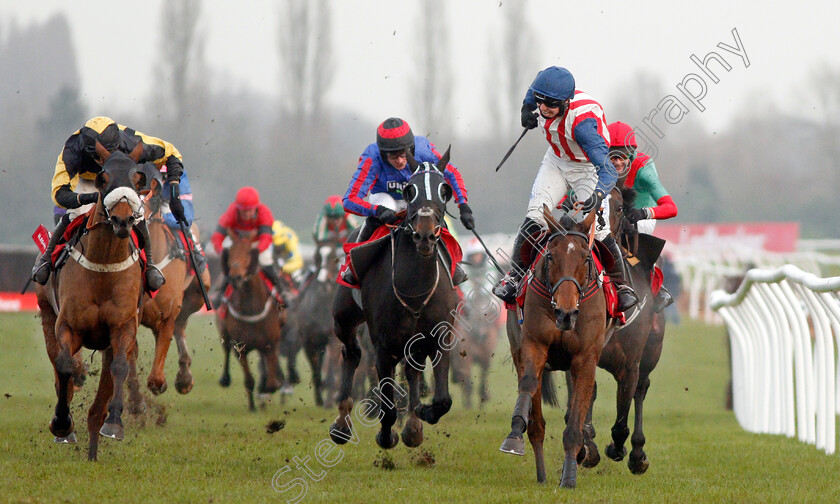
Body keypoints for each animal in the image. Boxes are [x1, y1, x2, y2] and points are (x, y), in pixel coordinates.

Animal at [35, 139, 146, 460]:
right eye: (102, 178)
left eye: (138, 179)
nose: (122, 219)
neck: (103, 264)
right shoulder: (67, 326)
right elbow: (64, 366)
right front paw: (61, 423)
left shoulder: (123, 327)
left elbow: (120, 367)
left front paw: (115, 422)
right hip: (47, 314)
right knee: (59, 366)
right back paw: (68, 431)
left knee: (103, 391)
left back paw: (95, 444)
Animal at [217, 231, 286, 410]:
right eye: (230, 252)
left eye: (249, 252)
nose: (236, 277)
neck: (251, 306)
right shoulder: (240, 348)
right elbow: (249, 380)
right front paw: (253, 406)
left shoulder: (271, 343)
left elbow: (271, 382)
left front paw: (269, 386)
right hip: (223, 330)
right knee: (225, 348)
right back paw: (225, 379)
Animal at [330, 149, 460, 448]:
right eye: (410, 190)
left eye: (445, 190)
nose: (425, 235)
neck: (414, 287)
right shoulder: (383, 344)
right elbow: (387, 406)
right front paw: (386, 435)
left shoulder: (440, 335)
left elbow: (443, 400)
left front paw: (422, 413)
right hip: (343, 317)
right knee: (351, 352)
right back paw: (341, 424)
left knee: (412, 370)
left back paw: (412, 425)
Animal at [498, 207, 616, 486]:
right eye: (550, 256)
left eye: (586, 258)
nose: (565, 313)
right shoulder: (534, 344)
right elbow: (528, 385)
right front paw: (514, 435)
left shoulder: (586, 358)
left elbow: (576, 417)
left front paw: (569, 477)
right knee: (537, 425)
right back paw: (541, 475)